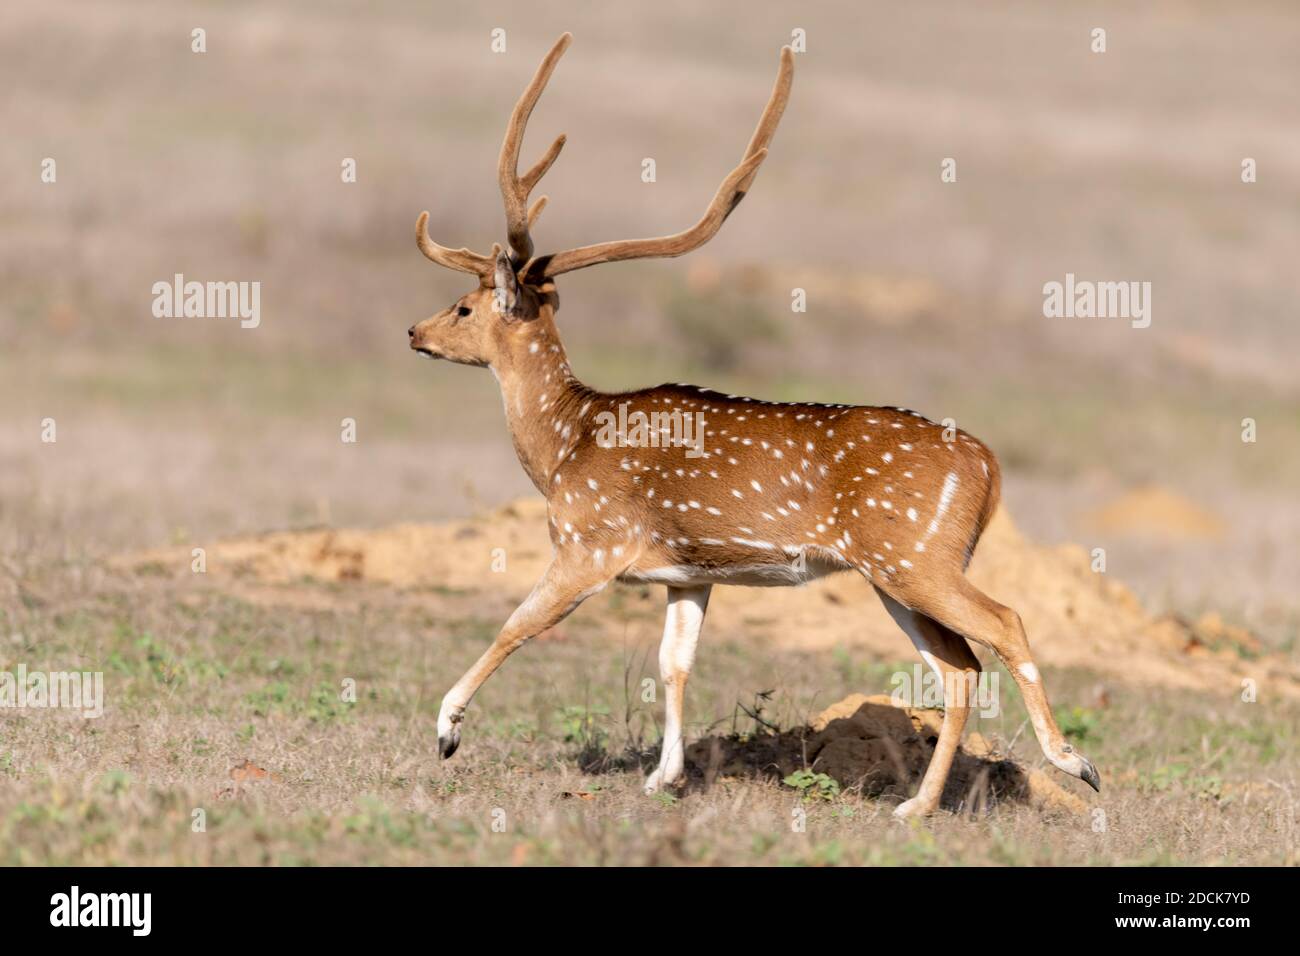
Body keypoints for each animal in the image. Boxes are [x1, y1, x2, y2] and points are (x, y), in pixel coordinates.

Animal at [407, 33, 1100, 818]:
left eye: (464, 305)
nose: (414, 331)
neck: (563, 444)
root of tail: (988, 465)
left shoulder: (592, 540)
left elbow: (517, 624)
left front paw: (446, 730)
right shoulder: (686, 572)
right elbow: (674, 662)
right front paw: (664, 775)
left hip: (916, 556)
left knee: (1002, 624)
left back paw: (1074, 763)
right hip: (896, 572)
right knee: (959, 664)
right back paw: (917, 805)